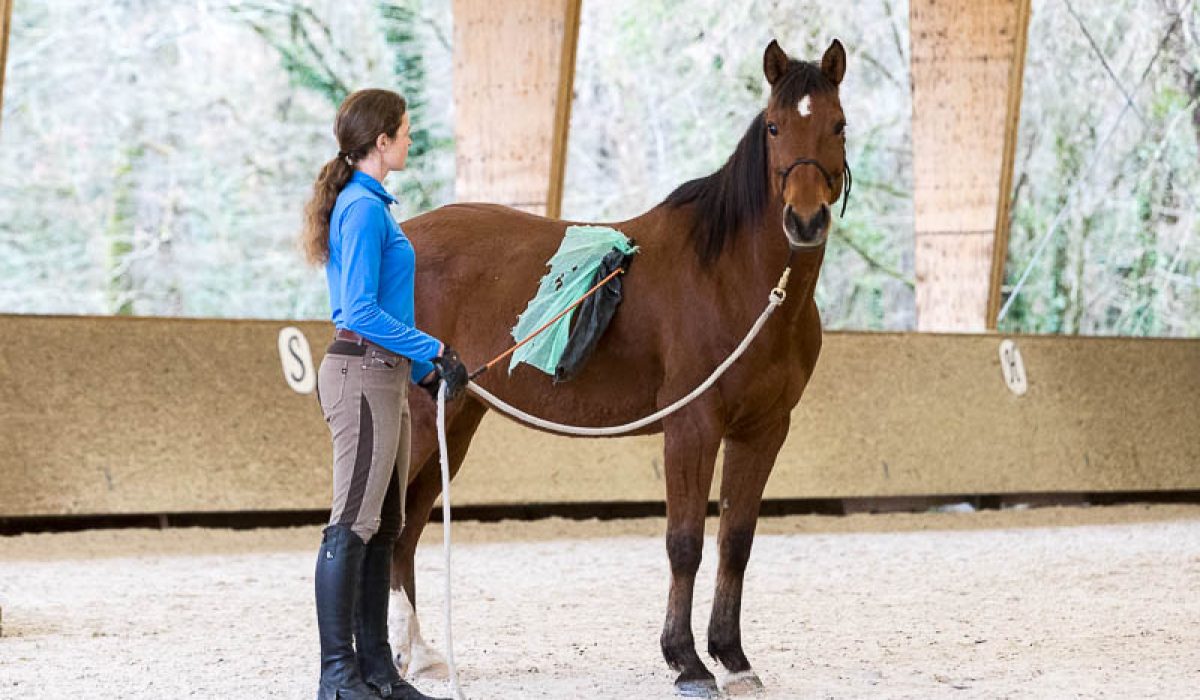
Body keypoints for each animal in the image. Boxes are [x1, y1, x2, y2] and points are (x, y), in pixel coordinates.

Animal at [387, 39, 849, 697]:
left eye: (838, 125)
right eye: (774, 126)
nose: (804, 221)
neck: (736, 277)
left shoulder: (762, 432)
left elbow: (736, 541)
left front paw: (733, 658)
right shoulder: (692, 428)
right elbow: (685, 543)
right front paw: (686, 661)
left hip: (456, 419)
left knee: (405, 532)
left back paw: (419, 654)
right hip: (422, 421)